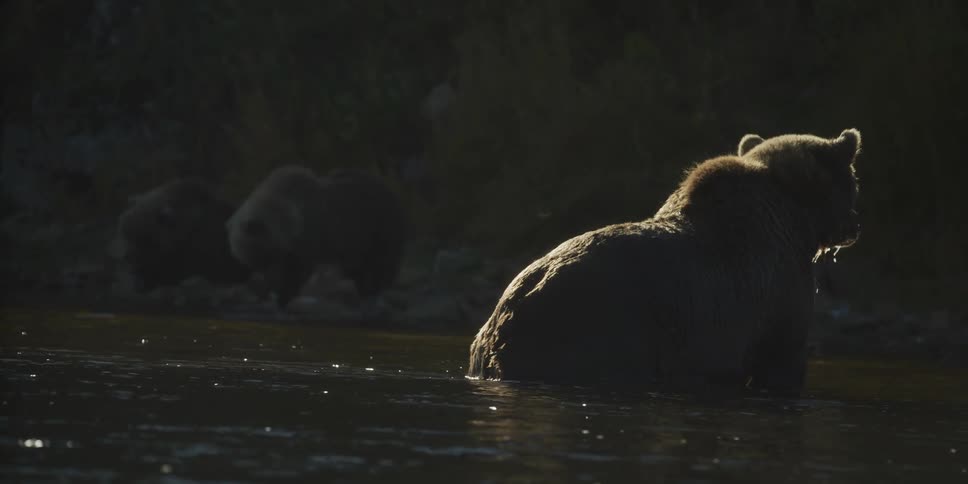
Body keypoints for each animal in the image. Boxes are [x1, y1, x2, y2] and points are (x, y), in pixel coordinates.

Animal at [226, 165, 408, 308]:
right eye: (255, 263)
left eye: (266, 257)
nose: (268, 283)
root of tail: (391, 190)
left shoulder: (309, 235)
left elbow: (298, 270)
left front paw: (283, 296)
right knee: (357, 268)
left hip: (379, 225)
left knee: (382, 262)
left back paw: (376, 290)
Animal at [467, 128, 863, 395]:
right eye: (855, 181)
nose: (856, 225)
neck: (797, 219)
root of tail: (504, 315)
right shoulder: (778, 296)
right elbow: (783, 362)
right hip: (595, 330)